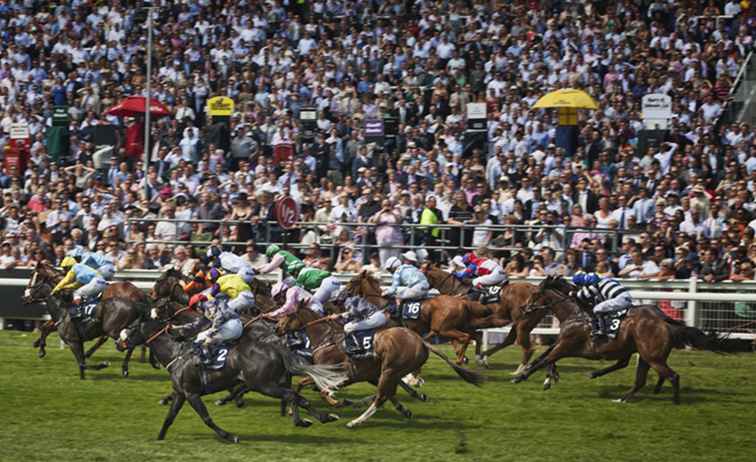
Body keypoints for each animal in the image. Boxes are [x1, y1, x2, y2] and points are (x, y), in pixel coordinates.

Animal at [21, 262, 151, 378]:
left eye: (34, 275)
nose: (25, 295)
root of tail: (139, 293)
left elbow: (46, 327)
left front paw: (41, 348)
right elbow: (46, 327)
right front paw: (38, 344)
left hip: (111, 324)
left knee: (106, 337)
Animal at [122, 314, 348, 440]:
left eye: (131, 328)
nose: (119, 341)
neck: (175, 354)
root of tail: (276, 347)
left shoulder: (191, 393)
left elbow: (206, 418)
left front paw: (229, 436)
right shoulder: (181, 393)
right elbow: (169, 418)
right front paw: (159, 438)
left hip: (264, 385)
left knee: (292, 395)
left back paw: (320, 417)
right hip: (272, 382)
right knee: (295, 396)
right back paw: (316, 418)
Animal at [274, 304, 482, 428]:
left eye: (287, 314)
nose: (276, 327)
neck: (325, 339)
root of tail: (421, 342)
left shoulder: (336, 373)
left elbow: (310, 386)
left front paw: (335, 402)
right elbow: (303, 386)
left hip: (390, 370)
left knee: (381, 396)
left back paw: (356, 421)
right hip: (388, 372)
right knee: (388, 393)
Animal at [342, 270, 490, 364]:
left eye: (352, 280)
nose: (342, 293)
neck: (382, 303)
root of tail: (462, 301)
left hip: (444, 329)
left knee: (465, 337)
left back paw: (460, 359)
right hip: (461, 325)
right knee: (476, 335)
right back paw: (478, 359)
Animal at [510, 276, 728, 402]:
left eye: (535, 294)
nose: (523, 308)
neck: (575, 313)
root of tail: (664, 322)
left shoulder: (565, 345)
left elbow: (546, 359)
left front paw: (522, 377)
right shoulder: (561, 343)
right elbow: (545, 357)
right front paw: (547, 377)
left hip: (649, 355)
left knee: (670, 375)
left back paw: (673, 400)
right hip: (643, 354)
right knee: (640, 376)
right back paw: (622, 395)